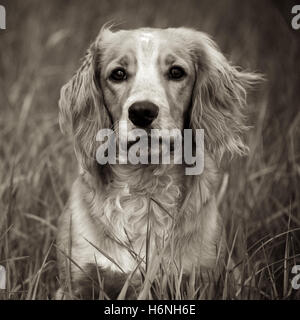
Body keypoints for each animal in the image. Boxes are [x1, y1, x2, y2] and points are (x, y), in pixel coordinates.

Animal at [55, 26, 260, 298]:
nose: (142, 111)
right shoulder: (75, 283)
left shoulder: (202, 278)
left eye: (176, 72)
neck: (144, 188)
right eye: (118, 74)